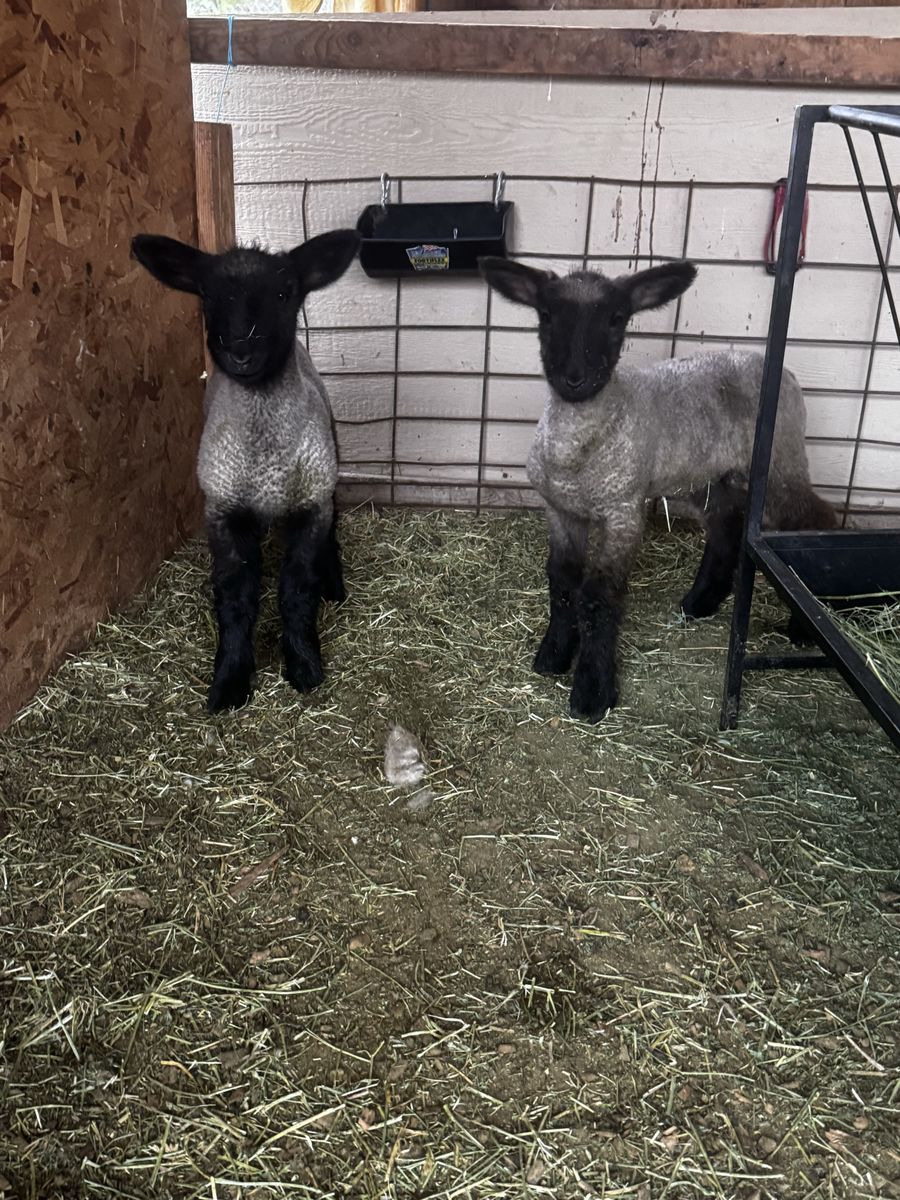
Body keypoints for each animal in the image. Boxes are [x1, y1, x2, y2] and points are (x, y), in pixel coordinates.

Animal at [131, 229, 360, 713]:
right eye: (207, 294)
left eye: (284, 292)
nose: (240, 351)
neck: (265, 462)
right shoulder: (223, 512)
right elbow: (235, 599)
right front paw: (230, 680)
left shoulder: (310, 507)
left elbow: (297, 591)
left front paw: (304, 665)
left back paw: (334, 582)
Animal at [478, 256, 836, 724]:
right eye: (546, 315)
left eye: (616, 318)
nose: (575, 380)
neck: (582, 446)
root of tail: (783, 372)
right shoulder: (560, 511)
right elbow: (562, 582)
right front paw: (553, 655)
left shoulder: (623, 511)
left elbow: (599, 596)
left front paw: (592, 692)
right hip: (710, 474)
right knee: (726, 526)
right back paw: (701, 602)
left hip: (780, 462)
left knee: (814, 518)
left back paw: (804, 625)